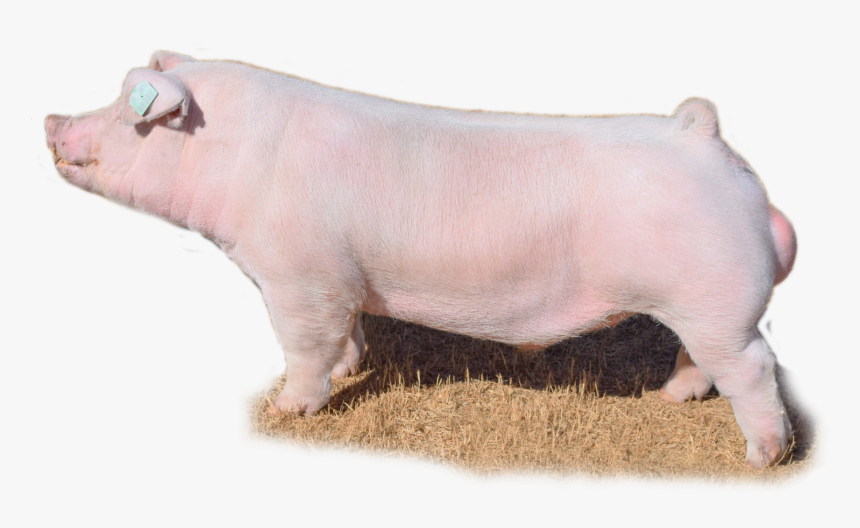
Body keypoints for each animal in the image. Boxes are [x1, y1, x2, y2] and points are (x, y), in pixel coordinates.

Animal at [45, 51, 797, 469]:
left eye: (129, 115)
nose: (52, 120)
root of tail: (704, 140)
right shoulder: (341, 282)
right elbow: (347, 335)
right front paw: (351, 370)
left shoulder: (299, 278)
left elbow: (304, 347)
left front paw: (290, 410)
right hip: (702, 309)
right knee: (702, 360)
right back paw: (672, 399)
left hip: (717, 302)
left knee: (754, 368)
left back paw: (763, 457)